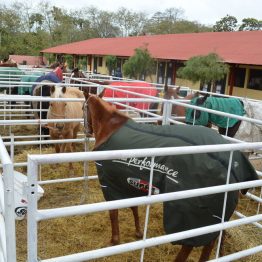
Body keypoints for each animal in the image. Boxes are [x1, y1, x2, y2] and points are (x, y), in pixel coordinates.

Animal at [83, 89, 256, 260]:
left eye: (84, 108)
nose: (87, 131)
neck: (110, 128)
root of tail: (230, 164)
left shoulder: (109, 182)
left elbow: (113, 212)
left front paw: (114, 240)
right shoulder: (126, 181)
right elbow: (134, 207)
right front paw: (138, 232)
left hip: (191, 214)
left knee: (190, 243)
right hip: (215, 216)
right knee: (212, 240)